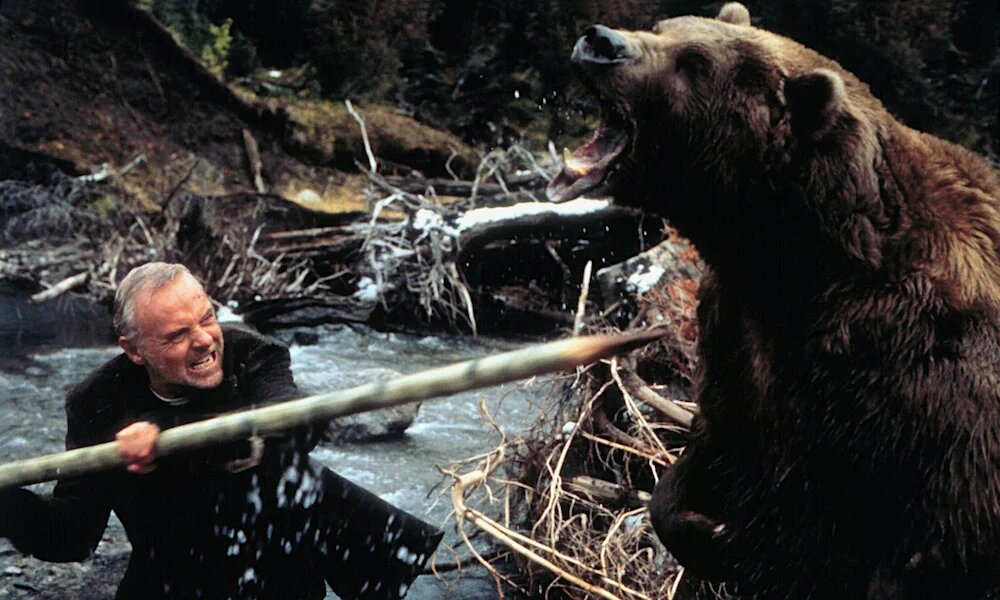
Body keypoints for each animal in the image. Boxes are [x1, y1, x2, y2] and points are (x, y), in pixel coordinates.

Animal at [547, 3, 1000, 599]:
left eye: (694, 63)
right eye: (665, 27)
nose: (601, 42)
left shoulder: (931, 396)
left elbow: (925, 541)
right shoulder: (745, 343)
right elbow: (718, 445)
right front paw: (708, 531)